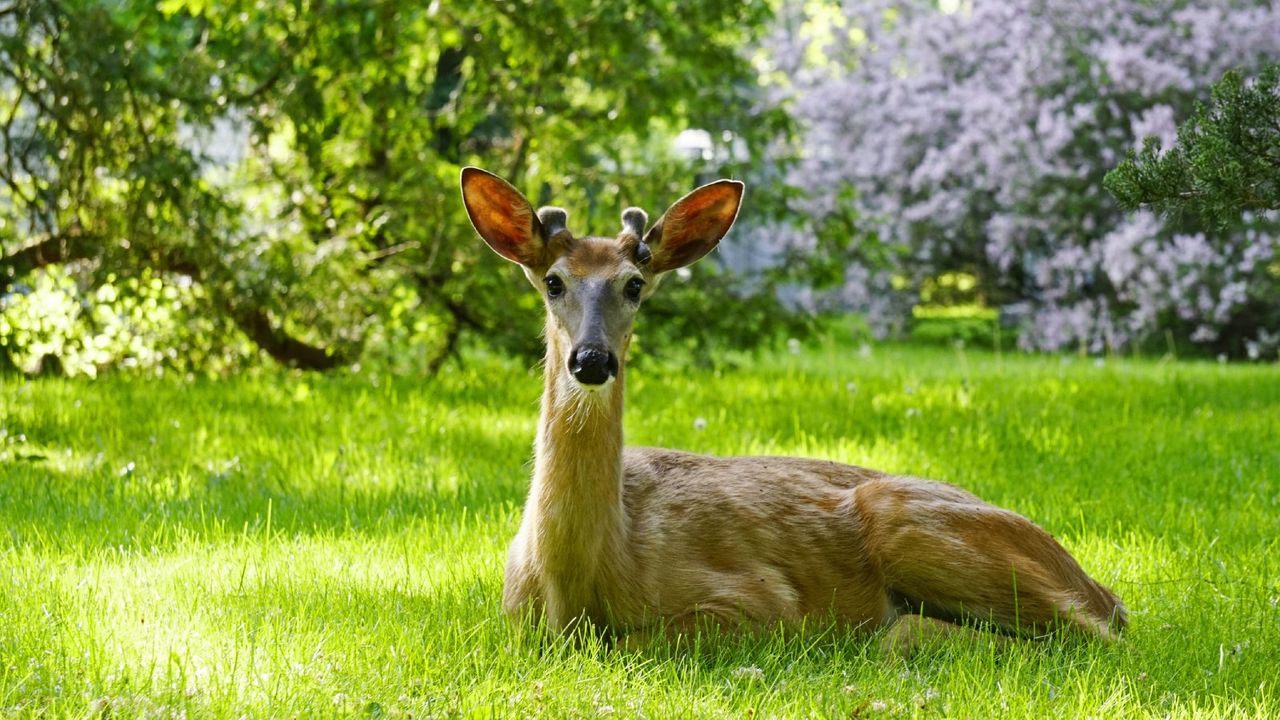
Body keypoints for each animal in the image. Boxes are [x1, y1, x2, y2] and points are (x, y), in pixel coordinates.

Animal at [463, 166, 1131, 650]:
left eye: (635, 284)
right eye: (553, 281)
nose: (592, 359)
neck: (581, 583)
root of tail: (1098, 585)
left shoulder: (759, 603)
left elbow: (642, 641)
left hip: (905, 519)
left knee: (1084, 634)